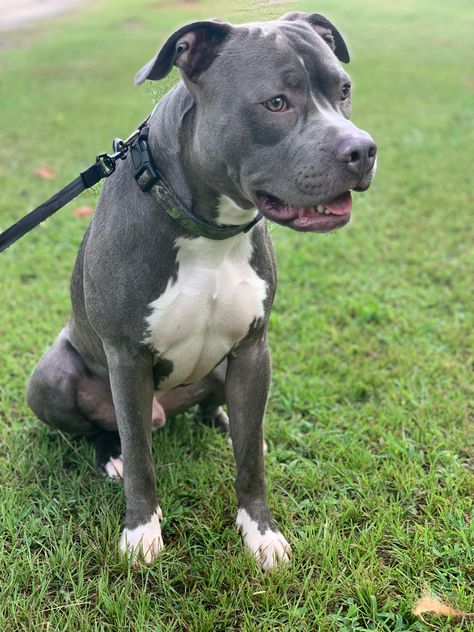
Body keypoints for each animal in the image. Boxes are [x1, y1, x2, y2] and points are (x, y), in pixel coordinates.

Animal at [25, 12, 376, 572]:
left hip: (225, 369)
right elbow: (142, 460)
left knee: (218, 408)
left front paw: (260, 533)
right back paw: (111, 454)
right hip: (51, 377)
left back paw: (224, 420)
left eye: (343, 90)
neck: (209, 231)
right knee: (105, 428)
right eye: (276, 103)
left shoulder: (254, 350)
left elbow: (250, 461)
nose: (362, 150)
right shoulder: (127, 358)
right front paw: (140, 532)